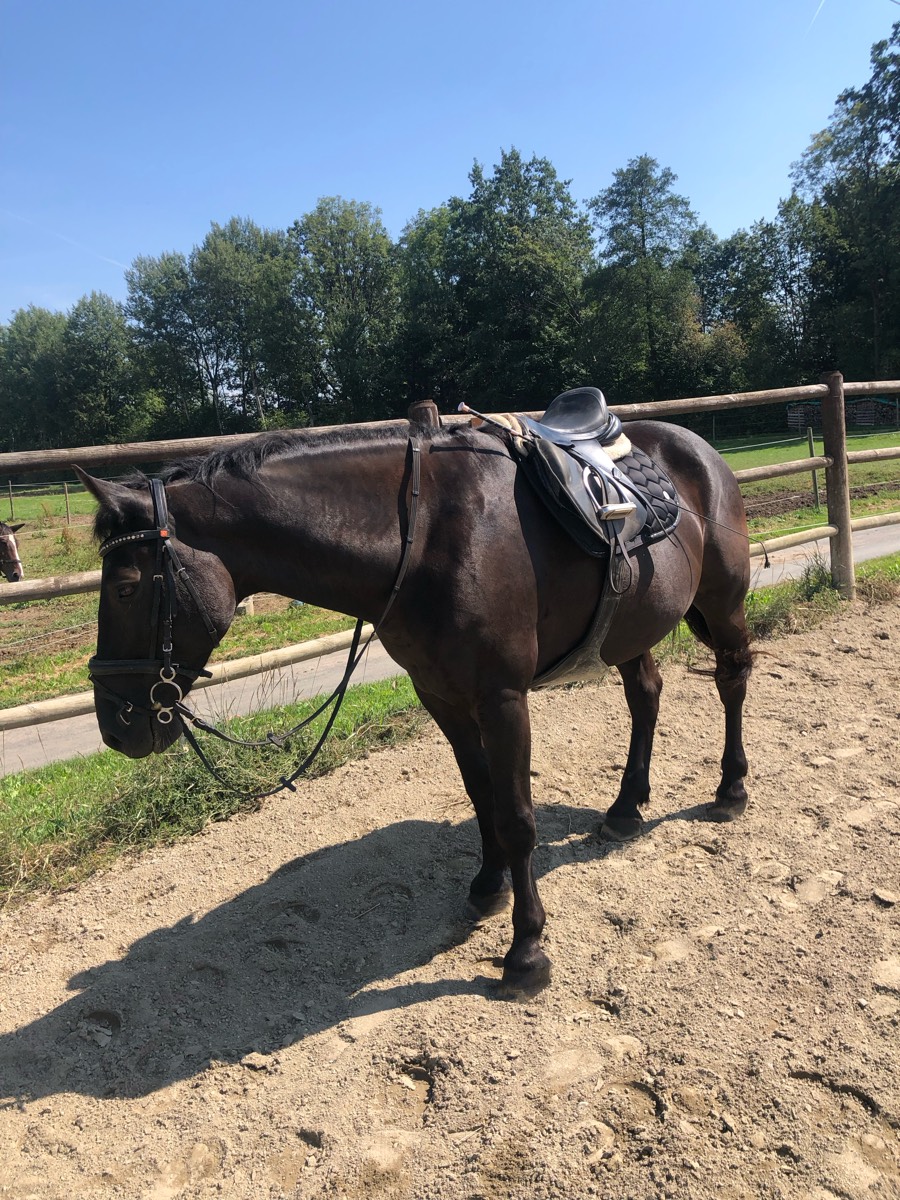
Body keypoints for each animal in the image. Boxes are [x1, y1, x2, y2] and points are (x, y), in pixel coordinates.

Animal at [76, 405, 753, 988]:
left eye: (128, 588)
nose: (116, 725)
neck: (428, 536)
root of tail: (693, 446)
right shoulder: (442, 698)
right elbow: (482, 799)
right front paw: (488, 886)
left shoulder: (503, 699)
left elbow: (517, 818)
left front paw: (527, 950)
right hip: (633, 627)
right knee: (646, 697)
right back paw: (626, 808)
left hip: (723, 605)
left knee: (731, 680)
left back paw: (730, 790)